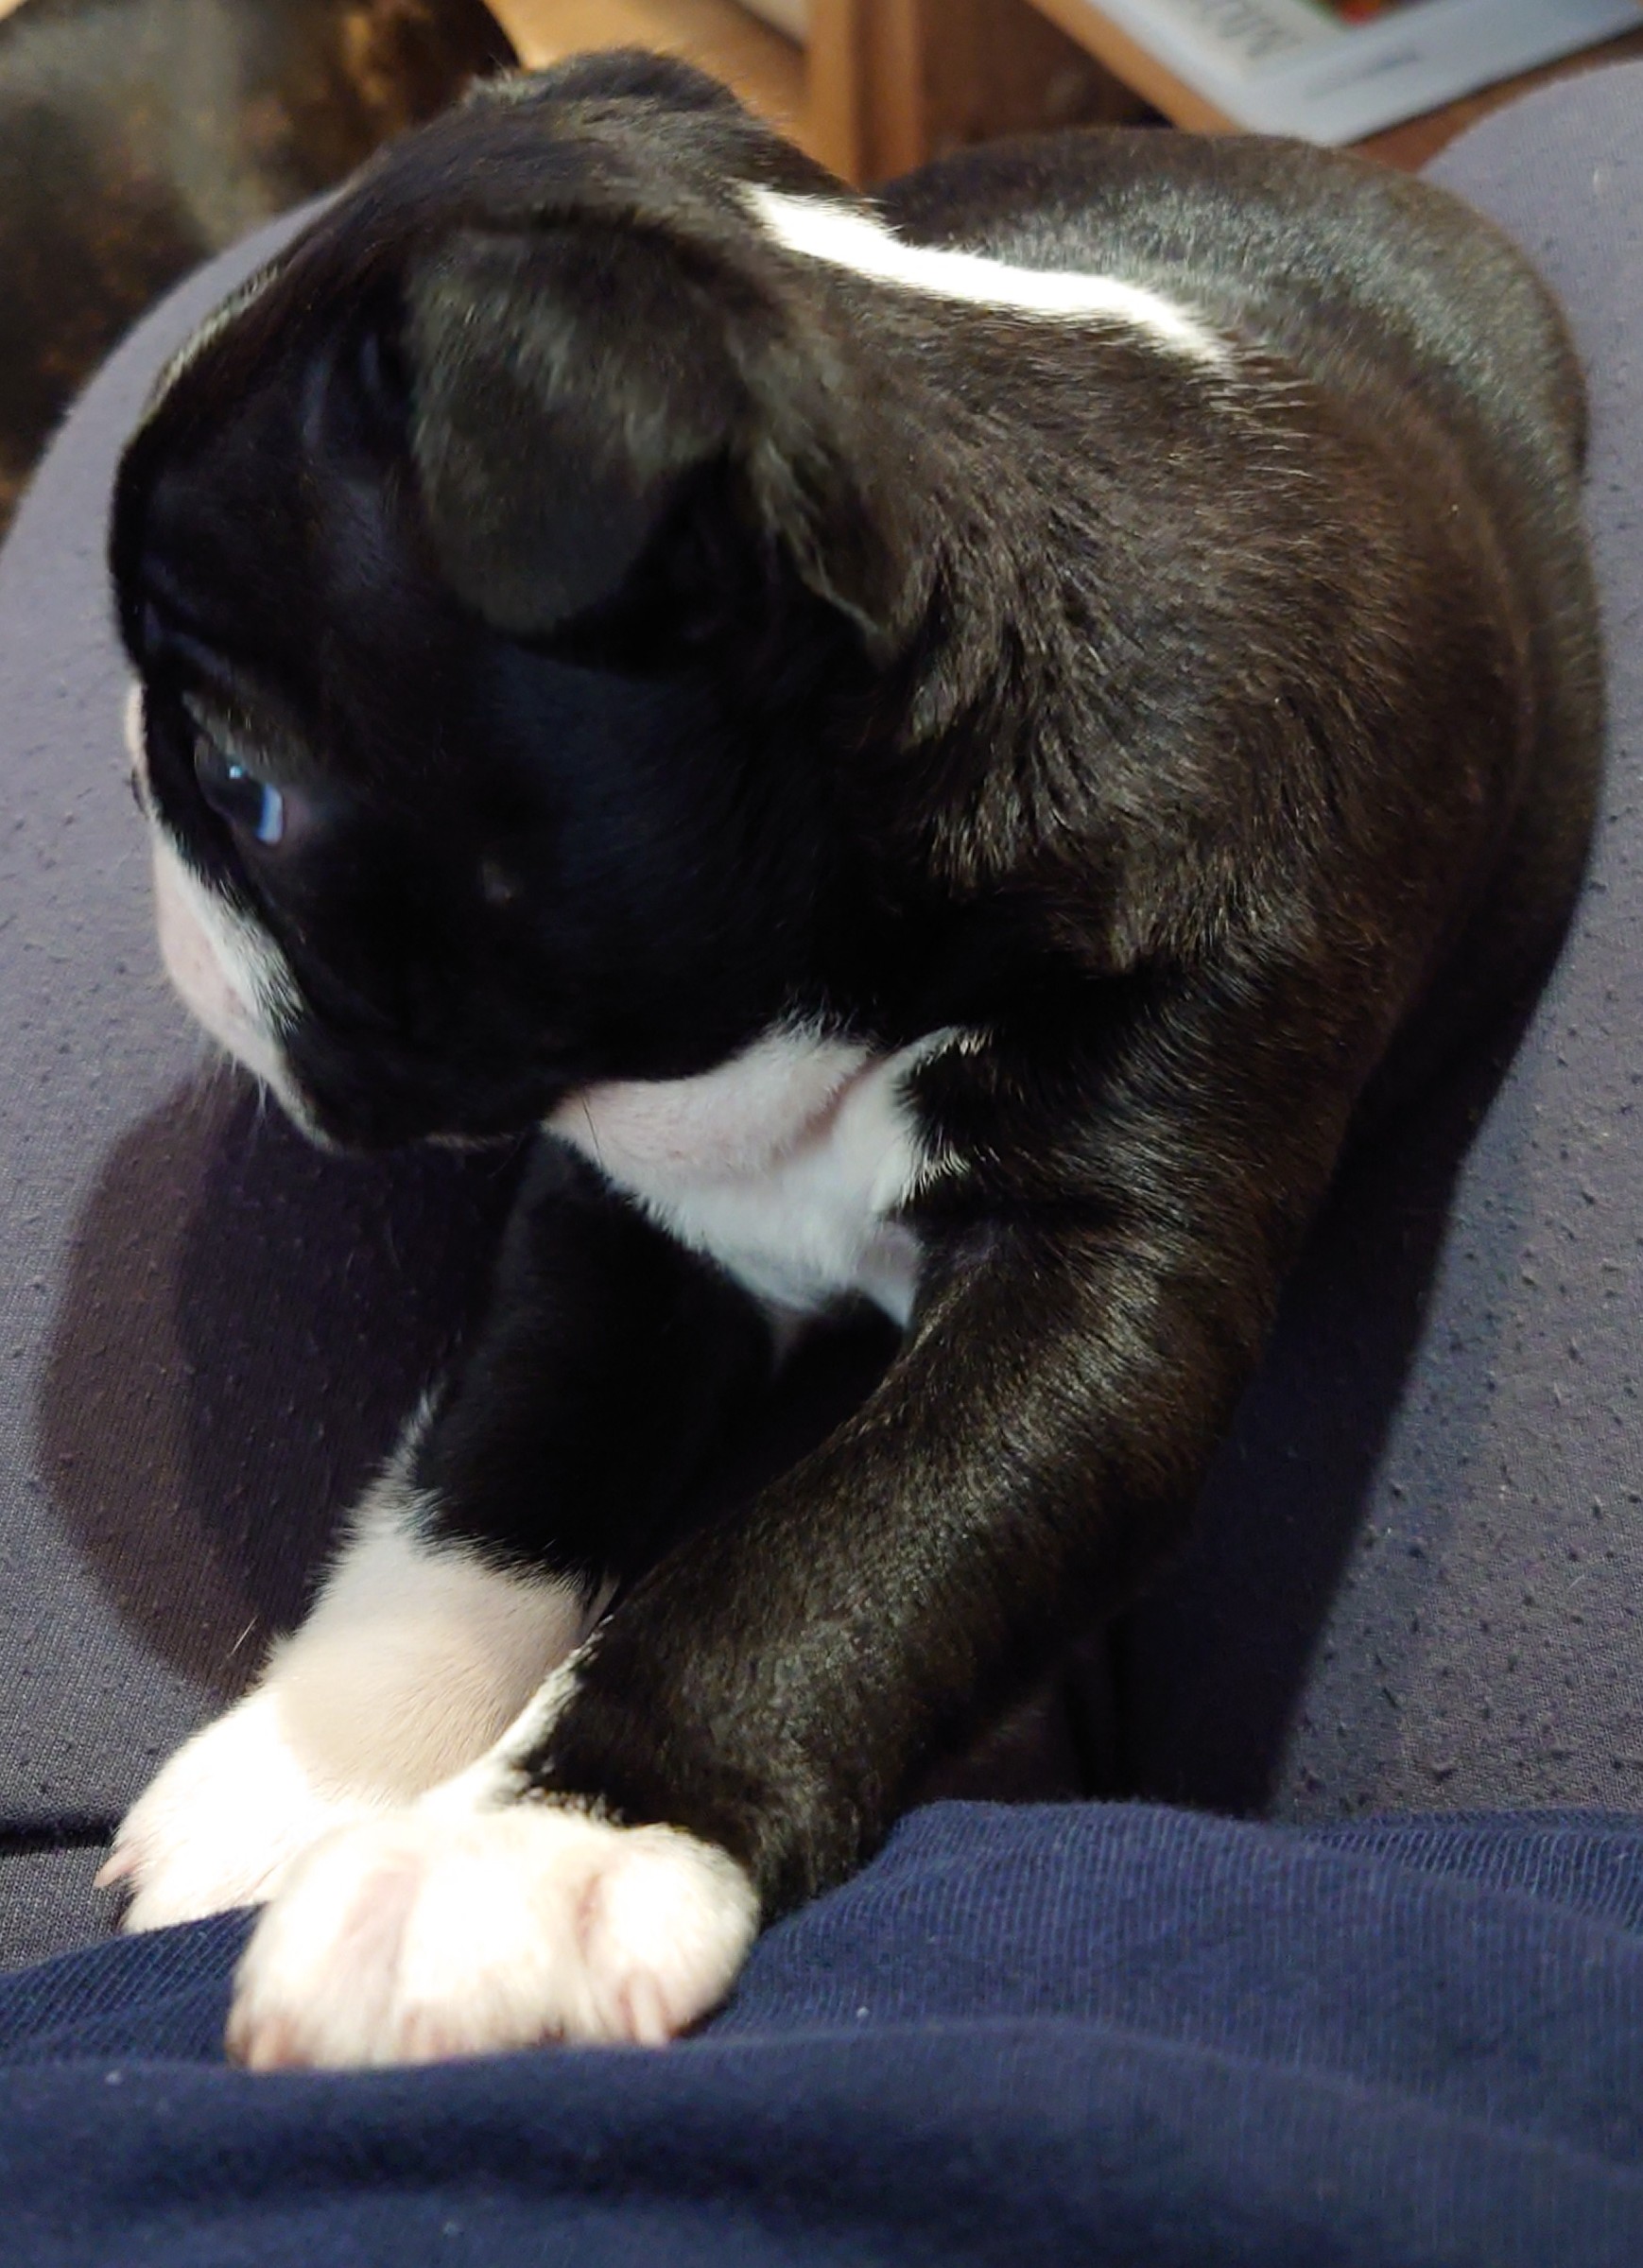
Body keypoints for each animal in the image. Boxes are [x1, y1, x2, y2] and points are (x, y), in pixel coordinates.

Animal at [102, 50, 1602, 2067]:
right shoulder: (626, 1215)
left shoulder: (1099, 1289)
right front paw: (317, 1761)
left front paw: (524, 1856)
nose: (129, 764)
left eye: (244, 783)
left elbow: (840, 1552)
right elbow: (496, 1461)